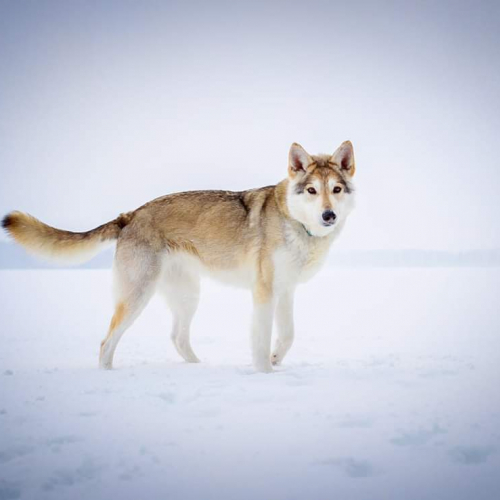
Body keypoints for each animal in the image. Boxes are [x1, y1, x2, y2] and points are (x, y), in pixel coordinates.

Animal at [2, 141, 356, 372]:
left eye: (336, 190)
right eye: (311, 191)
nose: (328, 215)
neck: (295, 223)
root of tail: (129, 215)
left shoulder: (285, 291)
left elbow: (288, 336)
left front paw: (274, 361)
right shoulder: (264, 292)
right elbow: (261, 339)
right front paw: (264, 373)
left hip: (187, 295)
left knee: (177, 338)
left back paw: (198, 369)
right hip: (137, 294)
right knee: (107, 342)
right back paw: (108, 376)